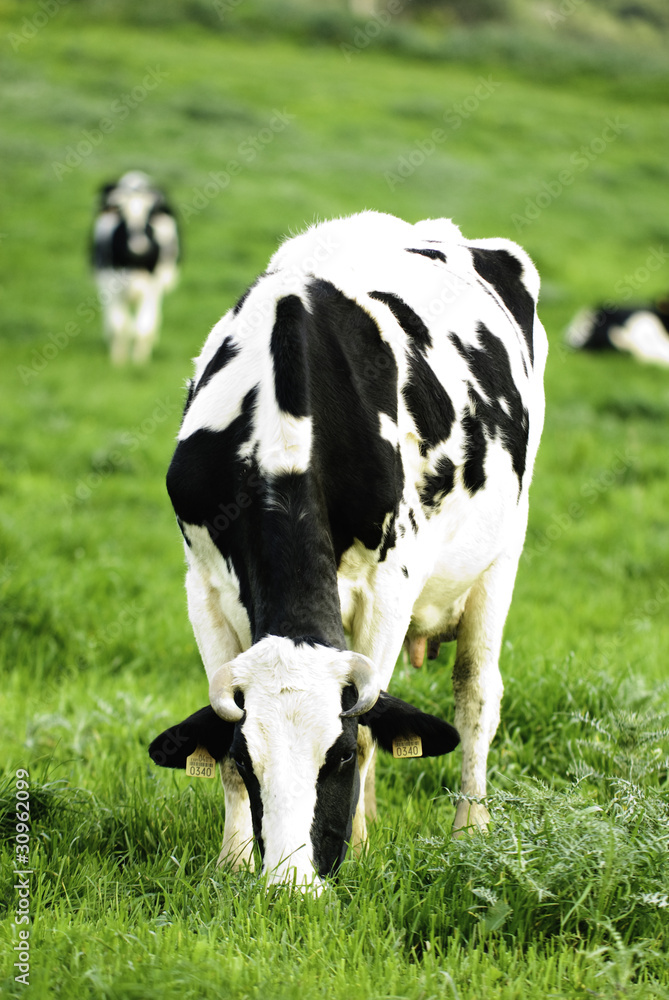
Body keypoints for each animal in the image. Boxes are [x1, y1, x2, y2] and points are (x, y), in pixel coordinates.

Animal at [92, 171, 180, 364]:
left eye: (149, 215)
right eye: (121, 213)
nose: (138, 248)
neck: (134, 264)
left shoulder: (152, 286)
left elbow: (143, 326)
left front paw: (140, 361)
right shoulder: (109, 282)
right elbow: (119, 325)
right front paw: (118, 360)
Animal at [151, 211, 548, 892]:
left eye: (332, 756)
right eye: (248, 759)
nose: (290, 887)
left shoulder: (390, 585)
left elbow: (371, 729)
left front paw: (356, 853)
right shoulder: (202, 584)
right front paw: (233, 861)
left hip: (503, 554)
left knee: (476, 694)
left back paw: (470, 830)